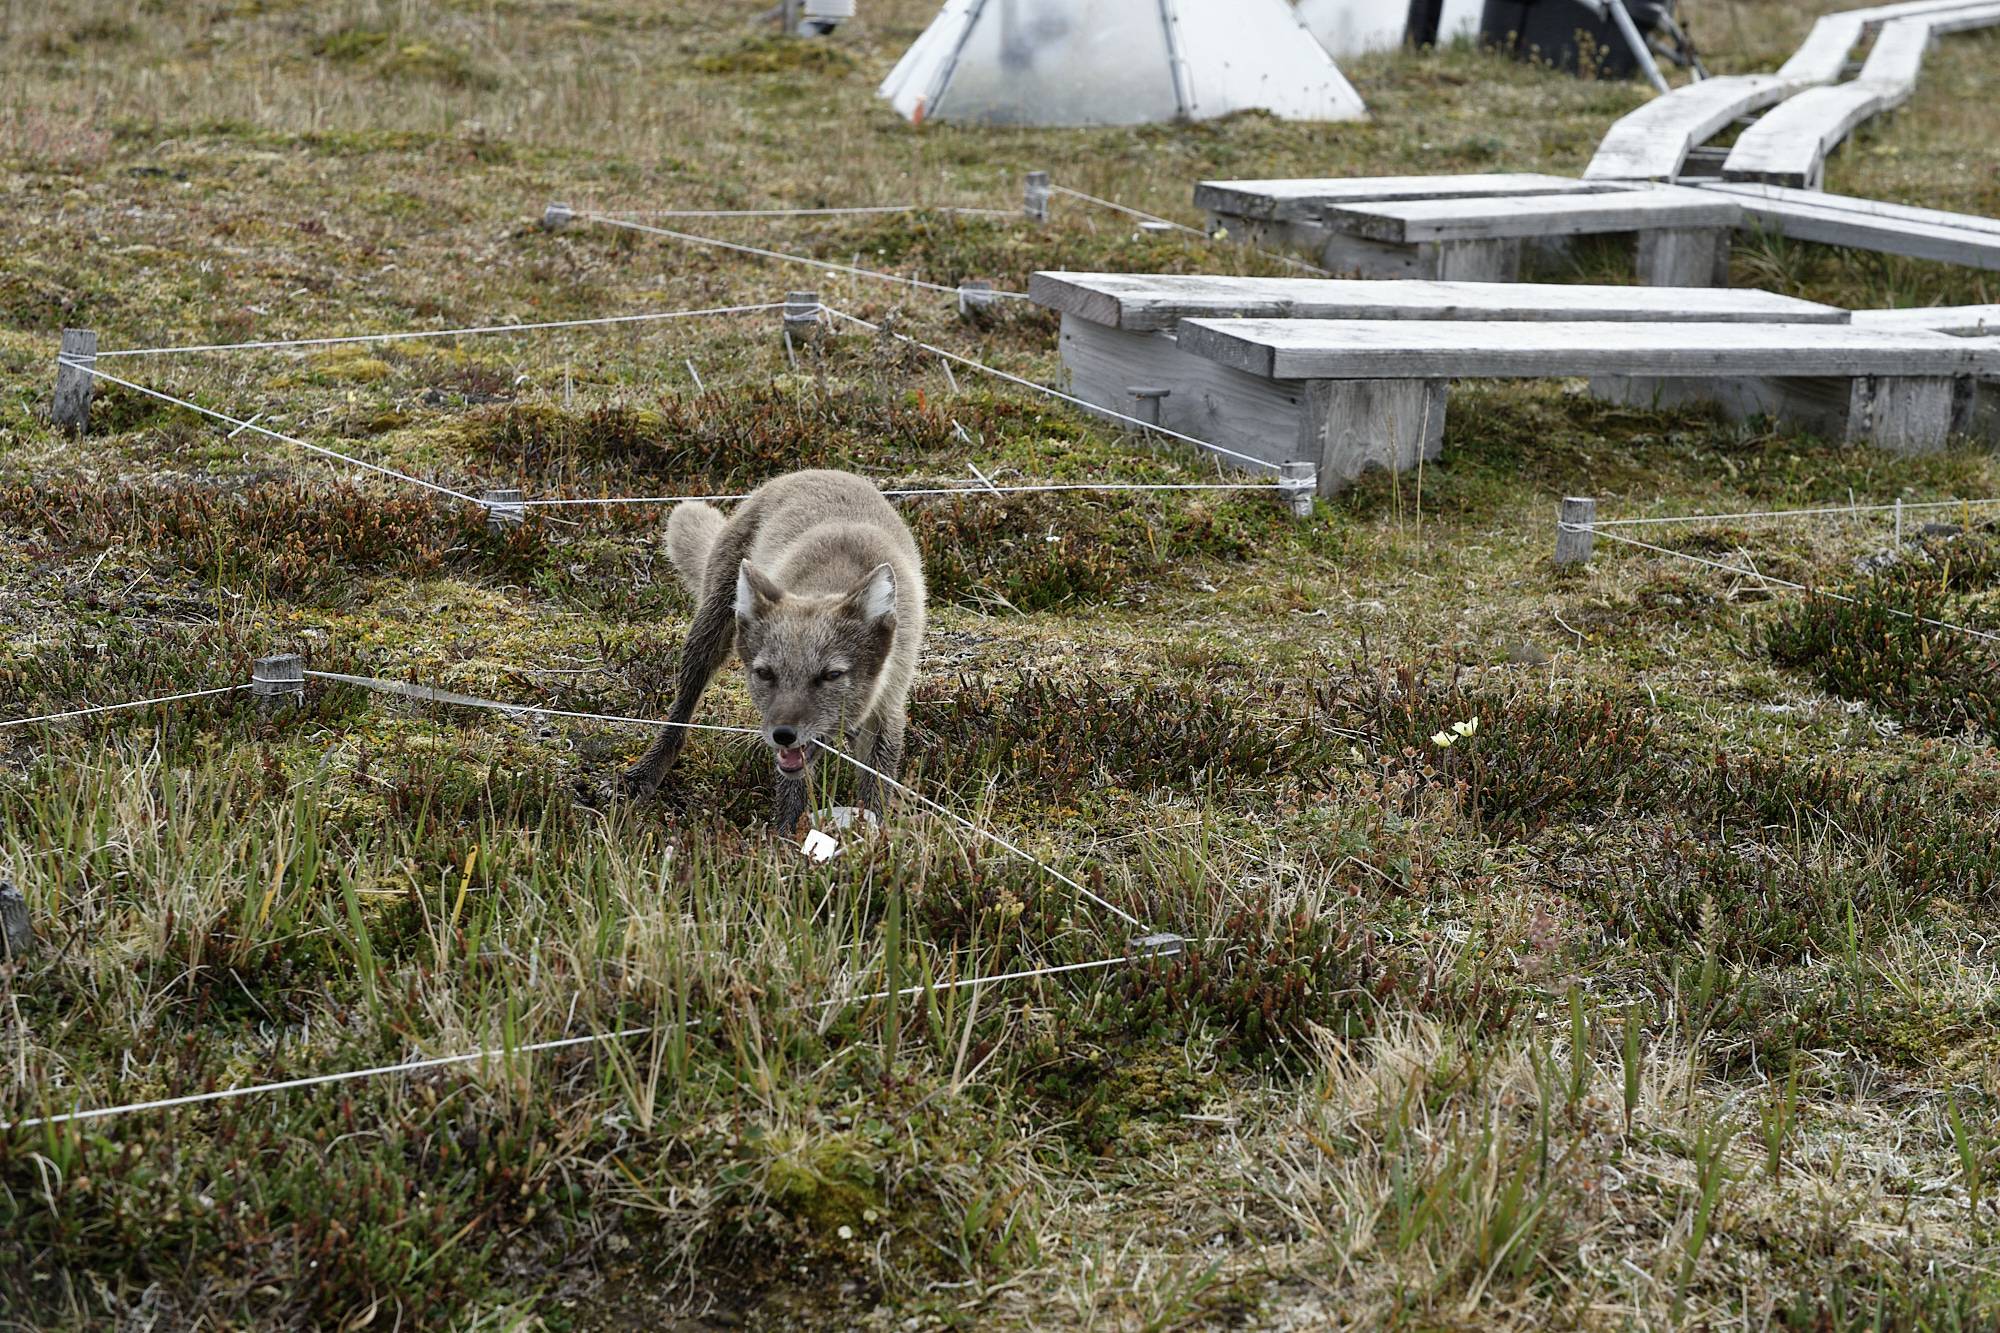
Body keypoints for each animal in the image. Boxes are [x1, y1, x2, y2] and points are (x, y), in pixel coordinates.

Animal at [618, 469, 926, 835]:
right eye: (765, 673)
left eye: (831, 675)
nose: (783, 735)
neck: (833, 582)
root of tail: (808, 471)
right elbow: (793, 790)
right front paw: (786, 839)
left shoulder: (888, 706)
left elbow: (876, 784)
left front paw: (871, 836)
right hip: (708, 631)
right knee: (681, 711)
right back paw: (645, 773)